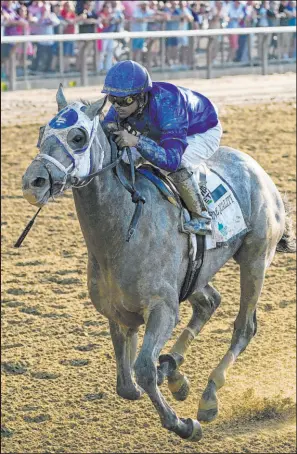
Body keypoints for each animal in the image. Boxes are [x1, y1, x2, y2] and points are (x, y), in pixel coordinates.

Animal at [21, 87, 294, 442]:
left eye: (77, 136)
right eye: (42, 133)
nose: (33, 181)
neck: (122, 231)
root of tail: (258, 170)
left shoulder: (162, 308)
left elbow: (142, 370)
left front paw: (183, 425)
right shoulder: (119, 313)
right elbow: (127, 385)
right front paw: (172, 379)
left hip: (255, 259)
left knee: (244, 327)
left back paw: (208, 397)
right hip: (195, 273)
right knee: (209, 301)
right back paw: (174, 371)